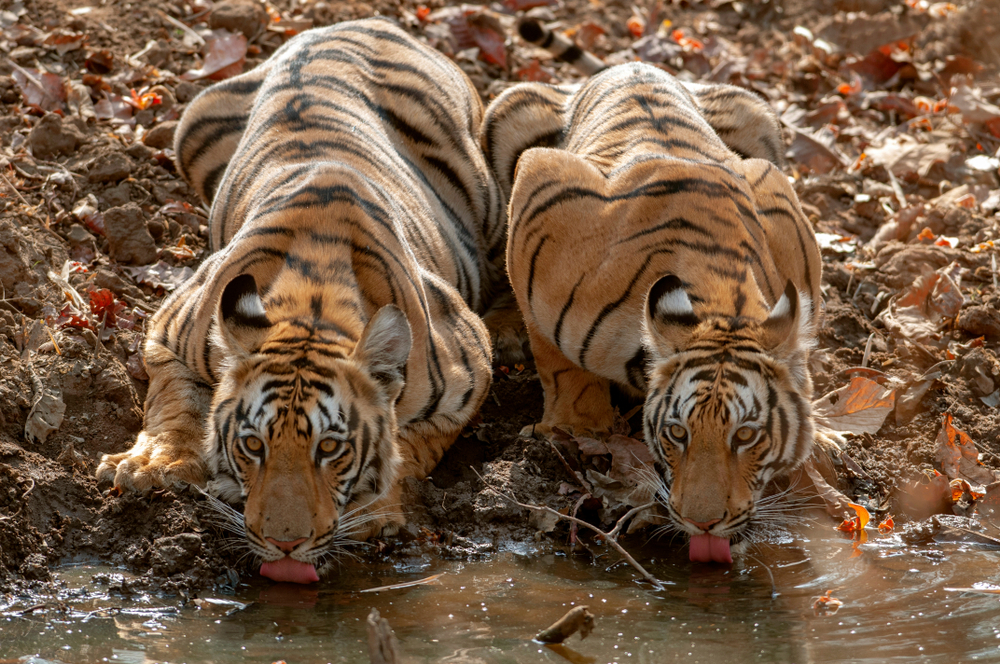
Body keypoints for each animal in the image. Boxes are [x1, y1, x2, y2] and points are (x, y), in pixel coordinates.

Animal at [97, 18, 504, 584]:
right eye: (253, 445)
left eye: (329, 448)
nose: (284, 544)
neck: (314, 303)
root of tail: (362, 21)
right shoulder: (169, 331)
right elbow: (175, 401)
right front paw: (152, 466)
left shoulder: (471, 375)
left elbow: (413, 443)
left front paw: (374, 506)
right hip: (190, 126)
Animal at [482, 50, 820, 564]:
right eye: (677, 433)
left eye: (746, 435)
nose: (704, 522)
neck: (721, 296)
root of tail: (629, 63)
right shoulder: (541, 194)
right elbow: (556, 358)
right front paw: (578, 425)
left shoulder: (778, 197)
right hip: (508, 114)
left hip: (760, 122)